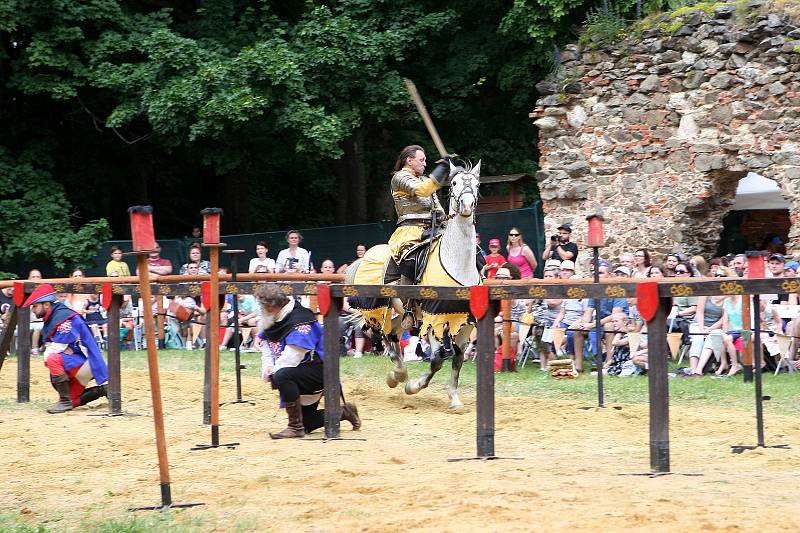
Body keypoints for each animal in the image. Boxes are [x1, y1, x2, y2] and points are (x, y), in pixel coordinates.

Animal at [346, 160, 482, 410]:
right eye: (454, 183)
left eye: (476, 185)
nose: (467, 206)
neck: (457, 262)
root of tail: (363, 257)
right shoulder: (433, 319)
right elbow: (437, 359)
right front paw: (413, 387)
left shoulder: (464, 322)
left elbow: (458, 357)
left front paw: (454, 398)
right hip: (379, 307)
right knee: (382, 336)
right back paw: (398, 375)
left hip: (401, 314)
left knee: (393, 336)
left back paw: (397, 374)